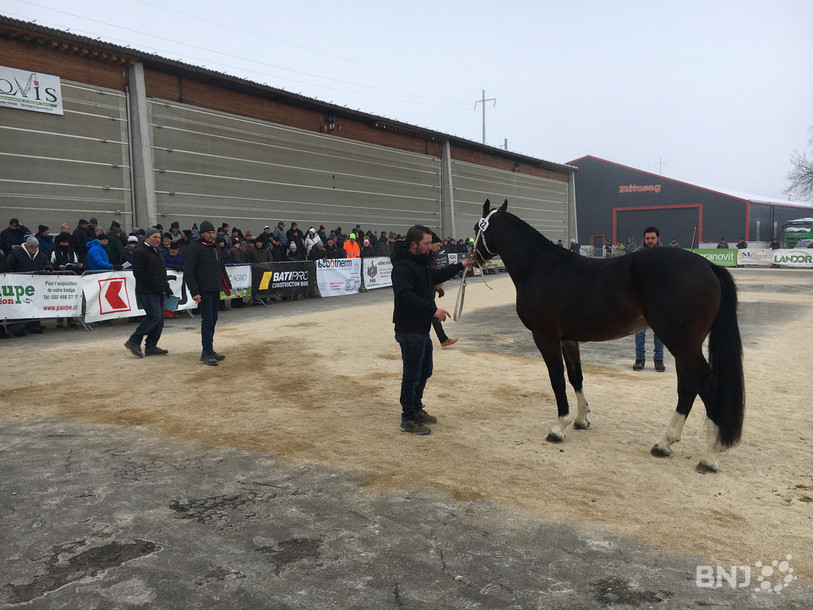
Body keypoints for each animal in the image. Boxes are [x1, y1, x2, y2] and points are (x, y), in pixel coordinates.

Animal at [470, 199, 744, 472]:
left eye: (476, 228)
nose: (472, 259)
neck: (539, 266)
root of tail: (709, 266)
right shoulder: (568, 339)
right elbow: (576, 376)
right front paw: (581, 419)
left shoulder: (545, 337)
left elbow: (557, 379)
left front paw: (558, 427)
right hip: (684, 346)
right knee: (688, 389)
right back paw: (664, 444)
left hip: (681, 344)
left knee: (708, 387)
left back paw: (709, 456)